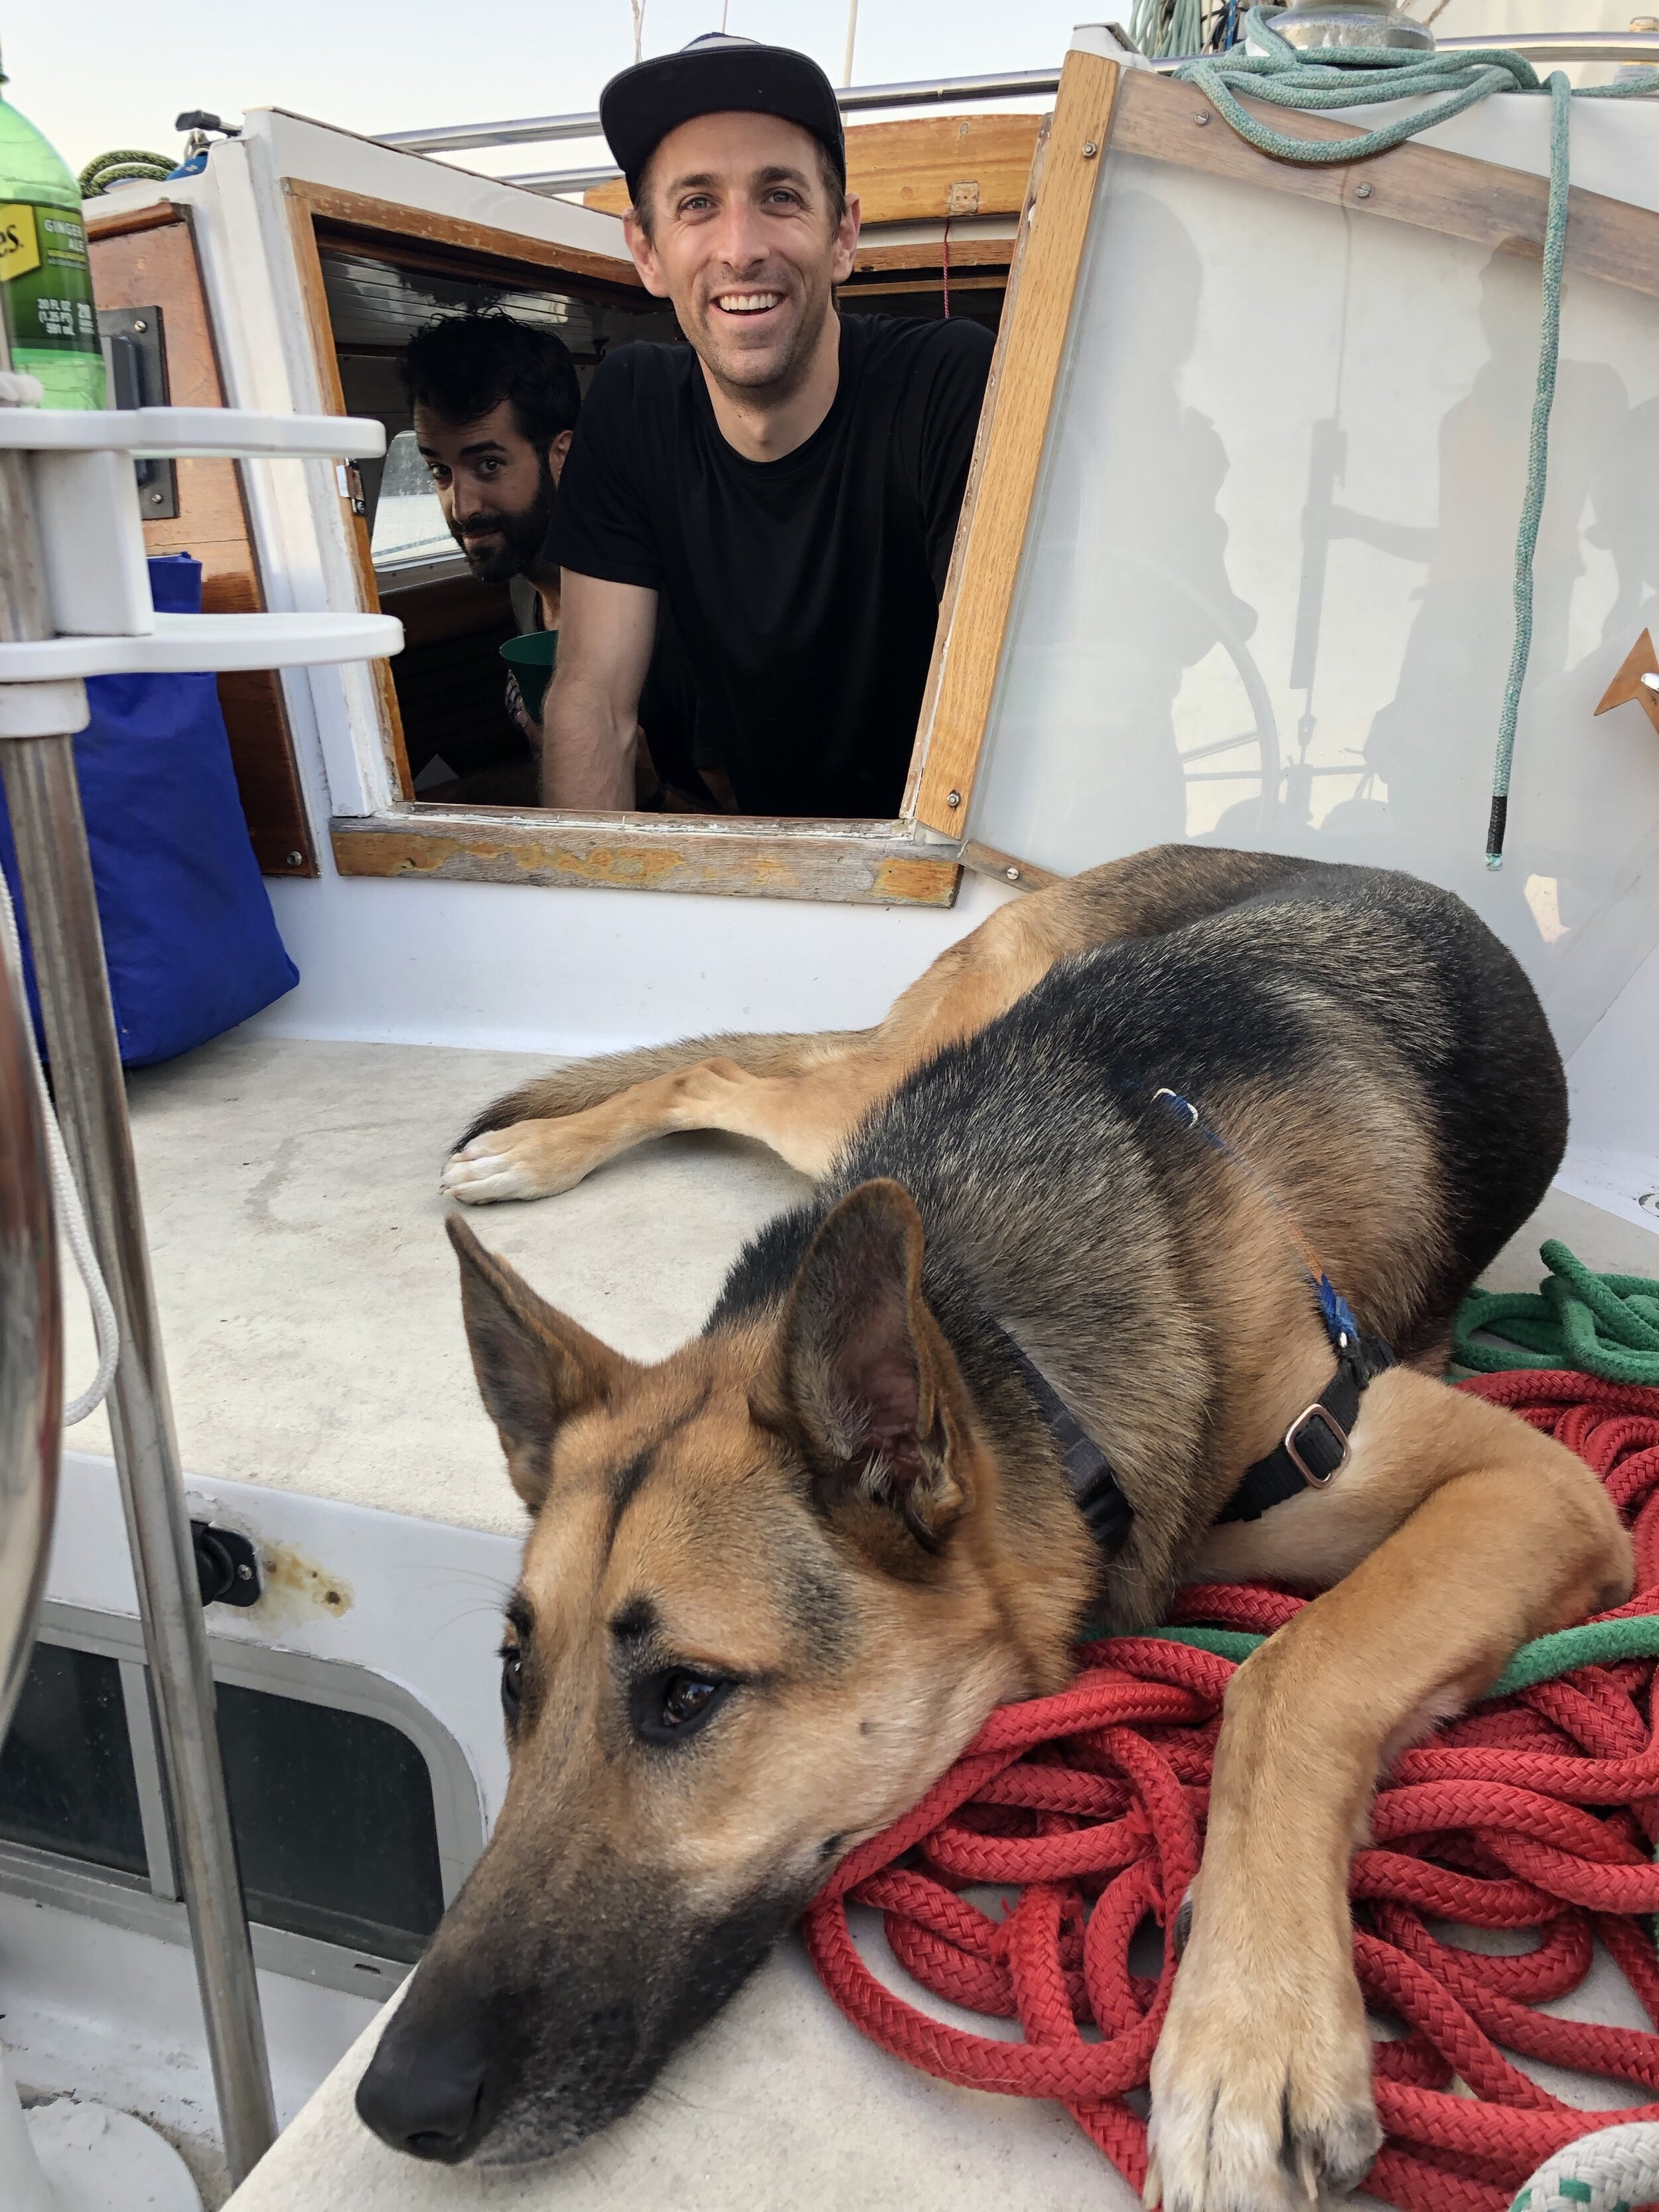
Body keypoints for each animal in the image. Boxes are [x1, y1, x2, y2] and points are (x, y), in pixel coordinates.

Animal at [359, 846, 1631, 2209]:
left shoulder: (1528, 1481)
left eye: (688, 1694)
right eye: (514, 1677)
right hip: (880, 1091)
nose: (396, 2101)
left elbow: (1294, 1669)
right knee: (723, 1077)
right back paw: (532, 1153)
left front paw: (1251, 2030)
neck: (1002, 1341)